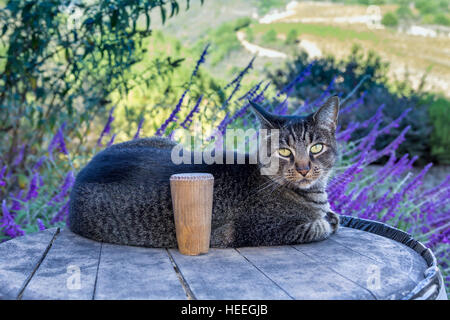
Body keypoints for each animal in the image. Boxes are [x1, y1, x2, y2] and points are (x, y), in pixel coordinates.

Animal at [68, 95, 340, 248]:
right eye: (284, 151)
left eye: (316, 147)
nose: (304, 169)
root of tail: (83, 171)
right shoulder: (258, 230)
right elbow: (318, 227)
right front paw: (328, 220)